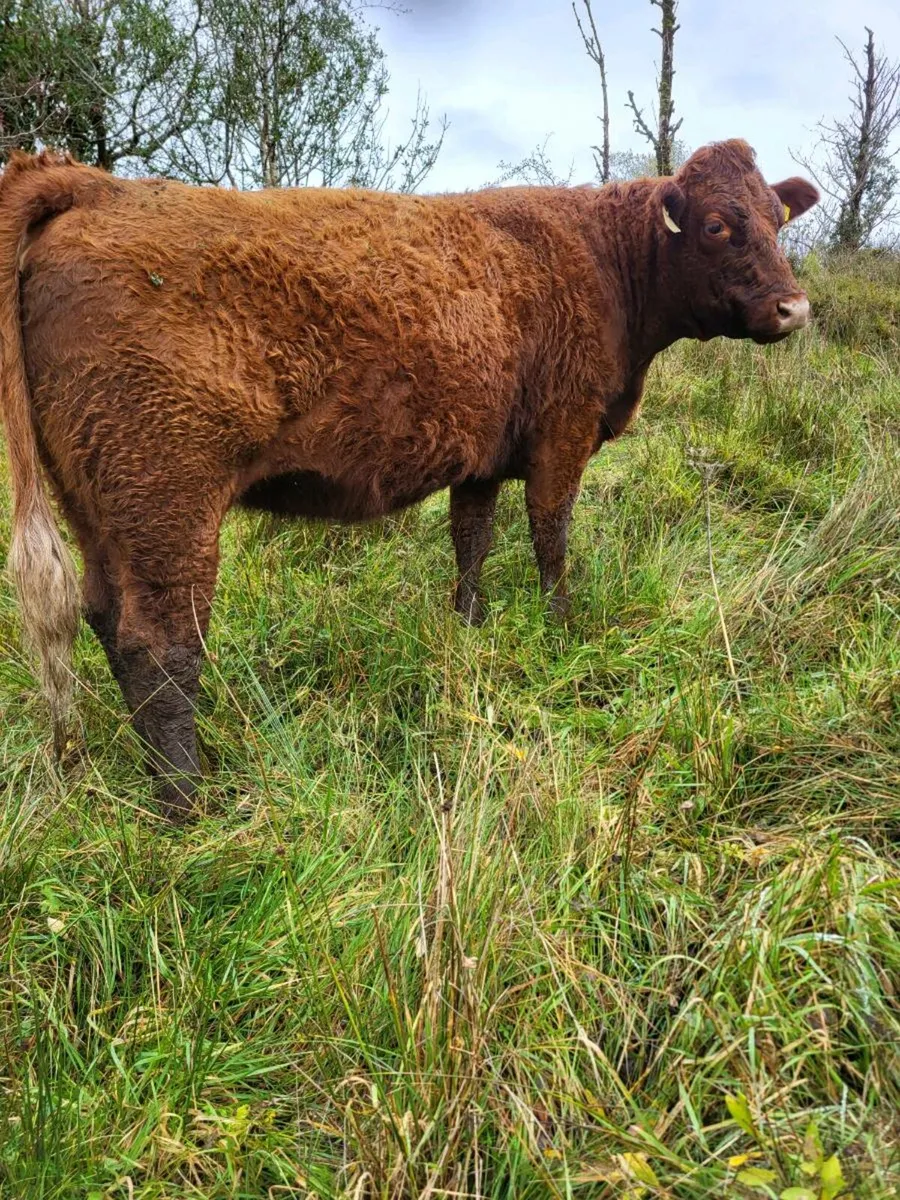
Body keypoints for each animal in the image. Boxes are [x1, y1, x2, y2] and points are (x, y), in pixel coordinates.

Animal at [0, 139, 818, 817]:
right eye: (717, 225)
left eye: (777, 218)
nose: (793, 307)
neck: (603, 262)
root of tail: (95, 185)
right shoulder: (563, 436)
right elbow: (551, 539)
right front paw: (562, 629)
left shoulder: (485, 457)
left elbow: (472, 542)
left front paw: (471, 627)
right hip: (167, 499)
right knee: (159, 642)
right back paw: (186, 803)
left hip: (99, 507)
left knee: (103, 616)